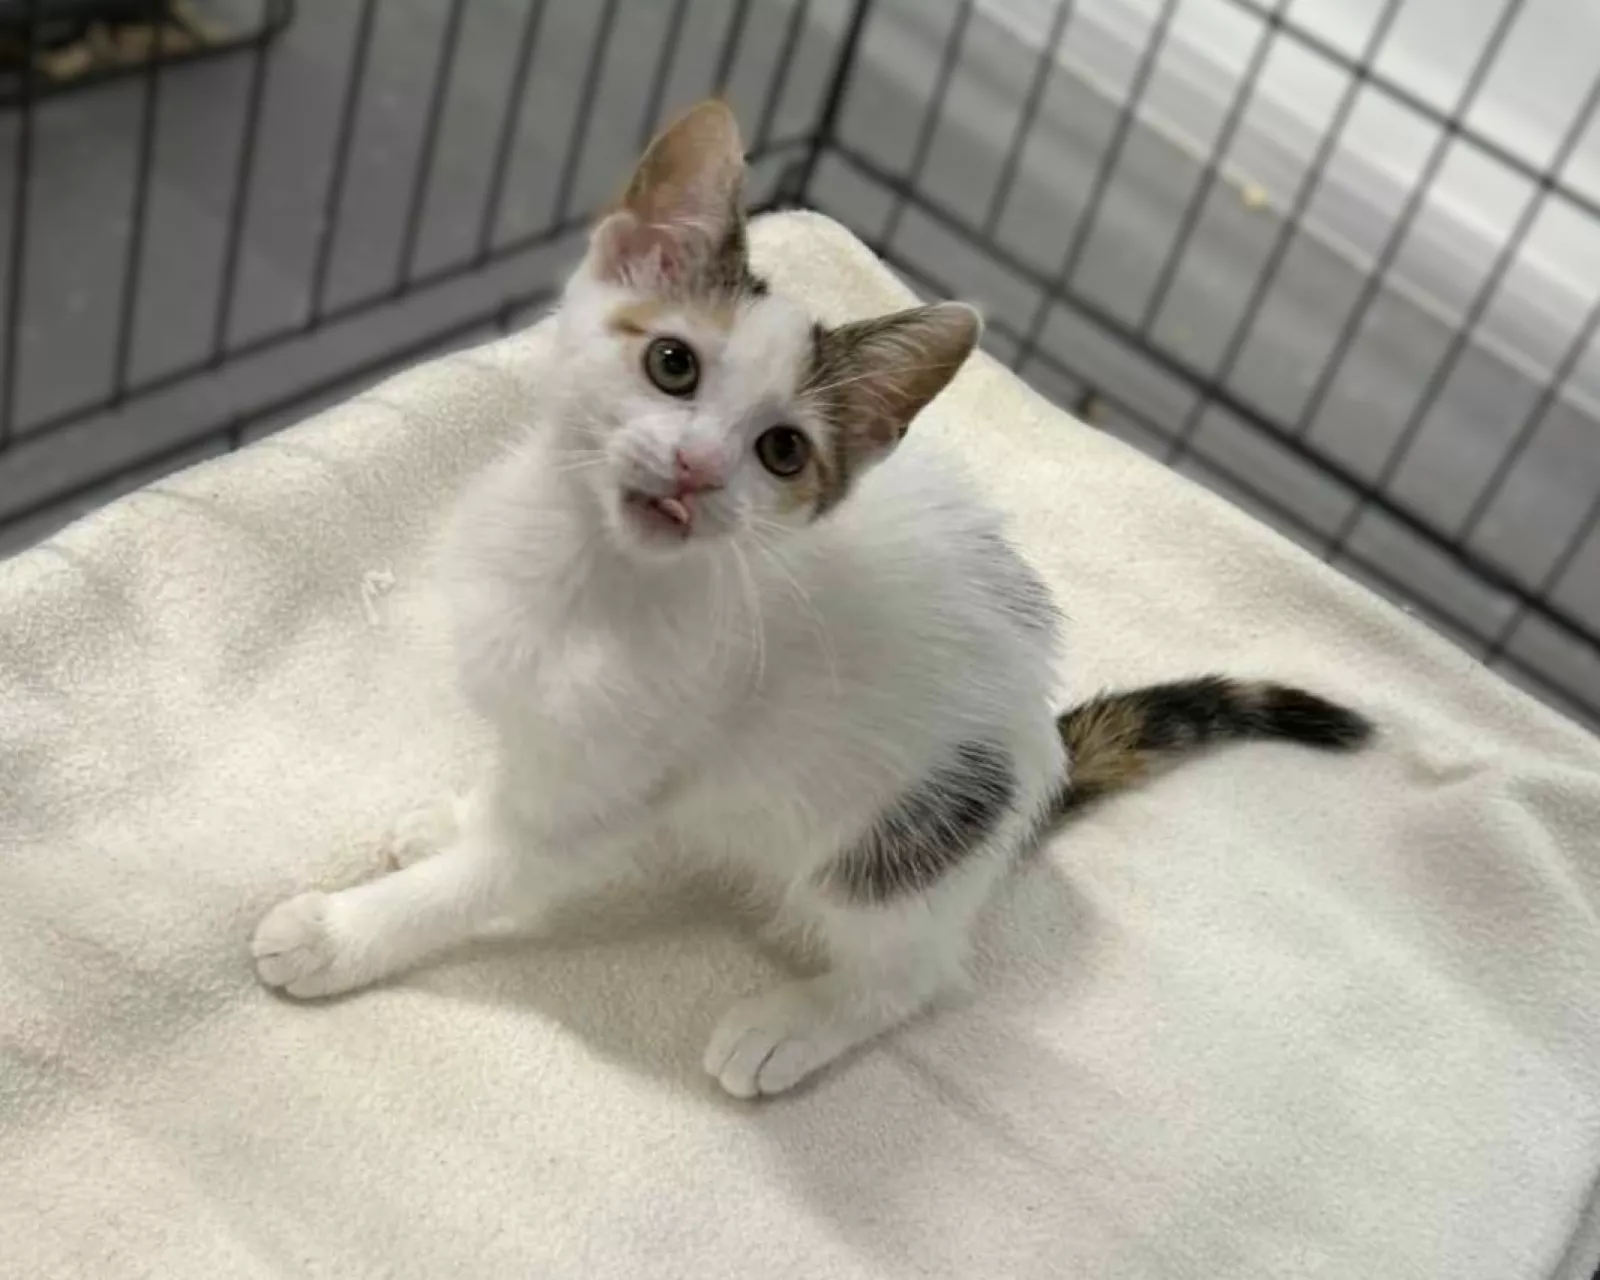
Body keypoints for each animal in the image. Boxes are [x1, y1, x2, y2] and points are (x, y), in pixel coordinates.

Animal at [252, 100, 1370, 1099]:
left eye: (781, 451)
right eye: (671, 363)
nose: (698, 469)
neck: (590, 575)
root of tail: (1041, 759)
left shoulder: (624, 781)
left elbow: (488, 876)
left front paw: (338, 933)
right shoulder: (546, 724)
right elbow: (505, 795)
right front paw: (451, 816)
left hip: (899, 836)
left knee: (914, 971)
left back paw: (793, 1025)